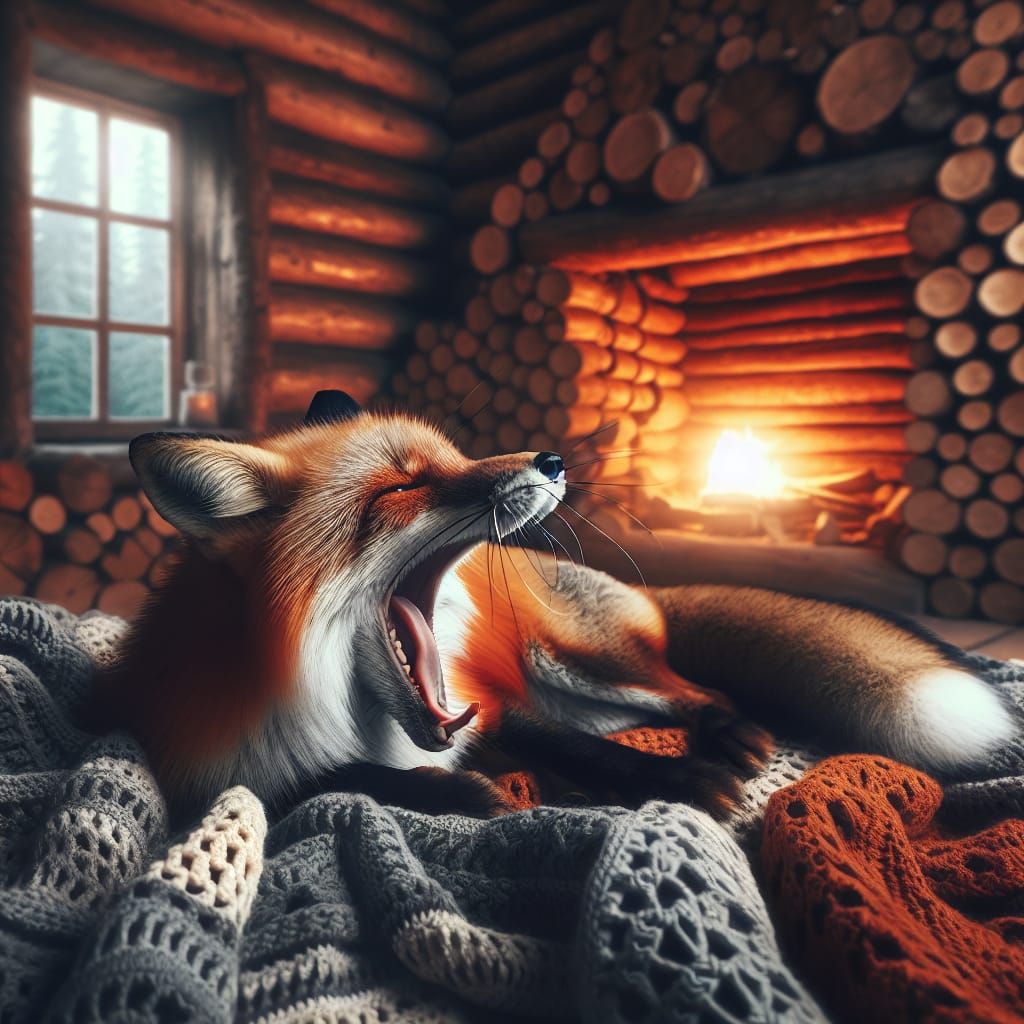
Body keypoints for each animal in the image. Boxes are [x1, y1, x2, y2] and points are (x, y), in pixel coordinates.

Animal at [92, 390, 1016, 819]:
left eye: (457, 455)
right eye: (402, 487)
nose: (553, 458)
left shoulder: (490, 707)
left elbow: (589, 755)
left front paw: (679, 782)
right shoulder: (203, 776)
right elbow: (322, 785)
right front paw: (456, 796)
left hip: (579, 664)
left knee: (695, 691)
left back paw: (733, 737)